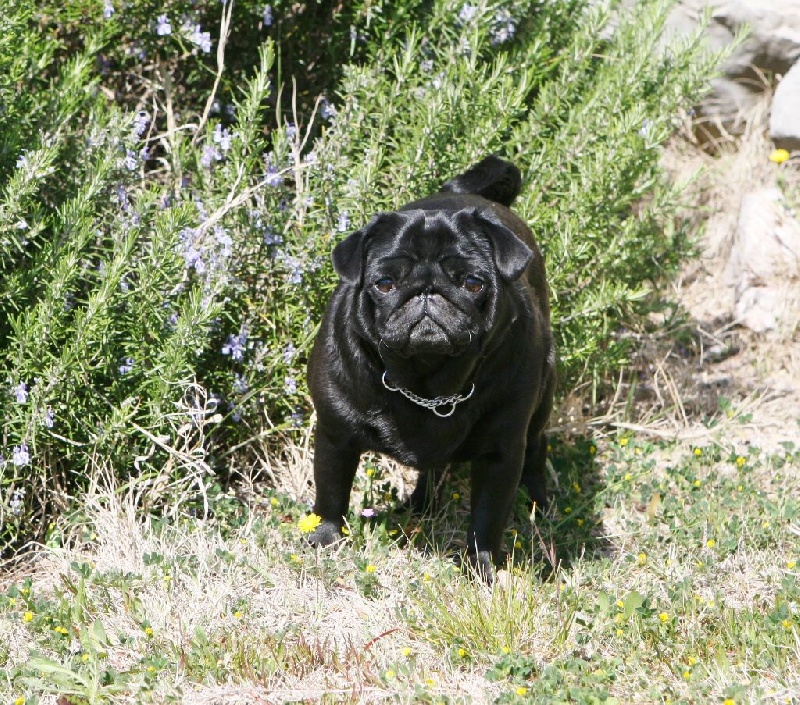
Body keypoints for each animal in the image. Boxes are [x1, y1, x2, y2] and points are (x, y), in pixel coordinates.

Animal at [306, 157, 556, 580]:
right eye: (384, 283)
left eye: (472, 282)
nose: (427, 291)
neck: (427, 380)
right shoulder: (335, 435)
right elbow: (331, 494)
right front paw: (325, 541)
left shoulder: (501, 453)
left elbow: (487, 519)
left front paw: (481, 569)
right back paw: (420, 507)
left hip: (542, 398)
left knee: (536, 448)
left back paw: (538, 501)